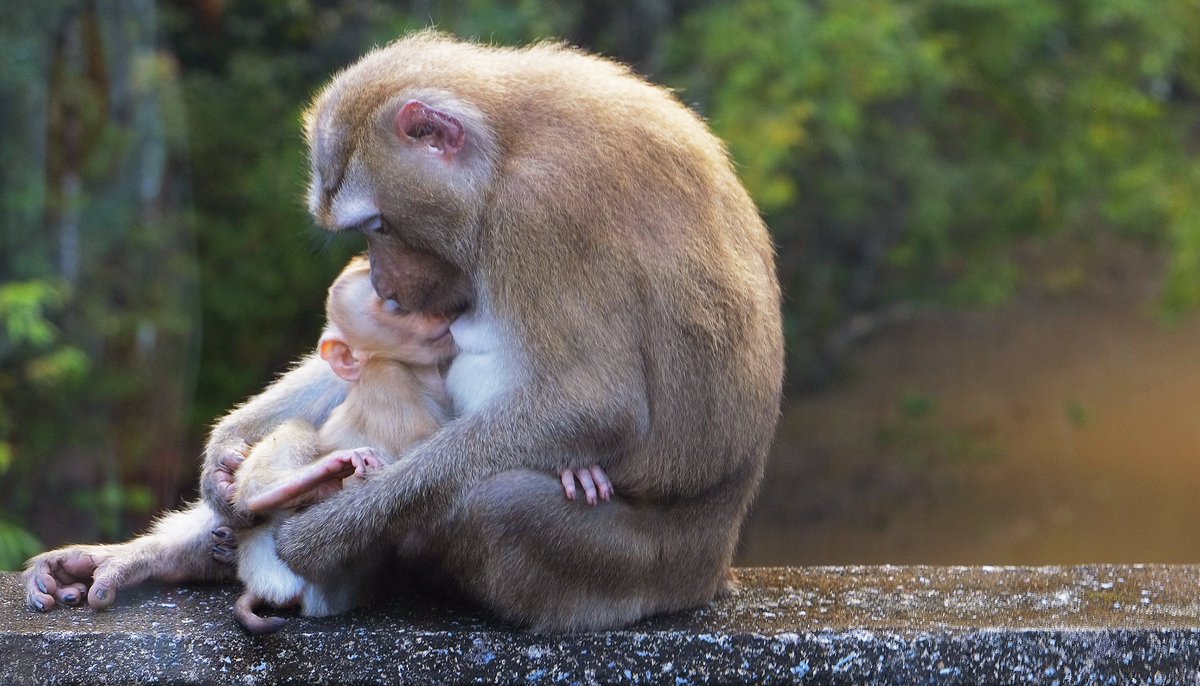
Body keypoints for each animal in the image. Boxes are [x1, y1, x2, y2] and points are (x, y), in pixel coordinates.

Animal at [25, 32, 783, 632]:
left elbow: (596, 402)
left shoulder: (541, 210)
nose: (384, 280)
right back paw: (191, 545)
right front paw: (221, 458)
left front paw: (324, 532)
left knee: (495, 504)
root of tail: (714, 569)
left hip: (648, 573)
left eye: (379, 225)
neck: (508, 145)